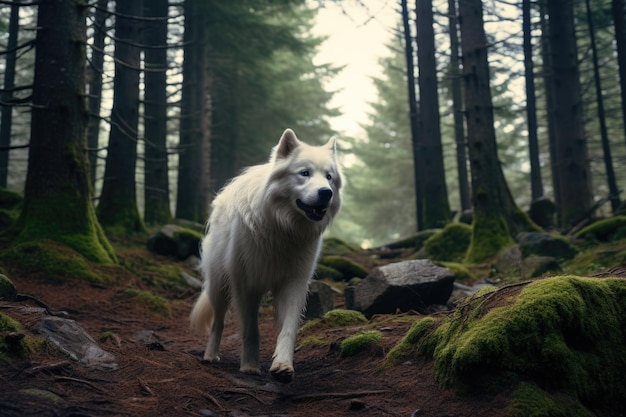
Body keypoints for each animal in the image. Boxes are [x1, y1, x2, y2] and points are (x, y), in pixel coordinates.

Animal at [190, 128, 342, 382]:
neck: (283, 230)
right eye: (305, 173)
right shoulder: (246, 285)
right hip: (219, 286)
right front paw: (250, 366)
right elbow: (251, 330)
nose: (326, 193)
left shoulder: (294, 283)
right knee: (218, 322)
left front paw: (283, 365)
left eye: (329, 177)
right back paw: (211, 355)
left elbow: (288, 328)